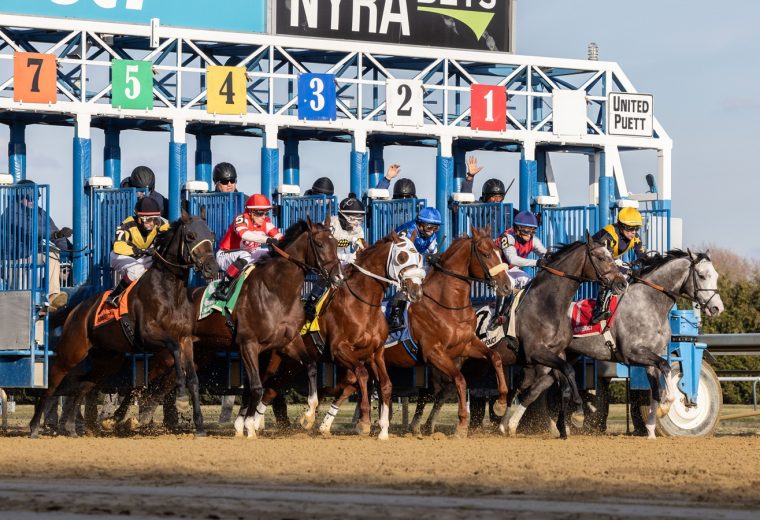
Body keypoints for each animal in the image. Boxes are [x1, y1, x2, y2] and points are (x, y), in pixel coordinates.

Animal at [28, 209, 218, 436]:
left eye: (212, 235)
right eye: (190, 236)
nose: (212, 268)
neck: (169, 291)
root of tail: (76, 309)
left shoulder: (186, 339)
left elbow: (193, 379)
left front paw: (199, 425)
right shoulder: (149, 336)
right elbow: (174, 351)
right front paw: (180, 396)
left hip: (108, 359)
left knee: (82, 384)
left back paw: (71, 426)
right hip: (72, 351)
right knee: (53, 382)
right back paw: (34, 426)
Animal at [190, 215, 342, 438]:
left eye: (336, 244)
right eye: (320, 244)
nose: (339, 277)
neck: (276, 292)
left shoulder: (288, 341)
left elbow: (311, 366)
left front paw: (308, 416)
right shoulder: (248, 344)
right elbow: (256, 387)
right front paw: (249, 426)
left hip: (201, 350)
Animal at [380, 225, 510, 436]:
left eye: (499, 252)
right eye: (486, 254)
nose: (507, 285)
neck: (448, 305)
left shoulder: (466, 345)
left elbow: (495, 358)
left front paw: (501, 403)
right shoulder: (434, 353)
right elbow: (459, 380)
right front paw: (462, 424)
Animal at [502, 237, 628, 438]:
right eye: (601, 257)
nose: (622, 283)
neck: (547, 305)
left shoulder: (554, 354)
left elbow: (565, 382)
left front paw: (565, 425)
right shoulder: (536, 352)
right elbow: (568, 371)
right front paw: (578, 414)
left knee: (520, 387)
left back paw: (505, 424)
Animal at [564, 250, 724, 436]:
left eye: (716, 275)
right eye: (702, 275)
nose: (717, 308)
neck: (649, 304)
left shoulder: (651, 358)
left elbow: (656, 390)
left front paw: (651, 430)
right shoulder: (633, 353)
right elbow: (666, 368)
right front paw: (665, 406)